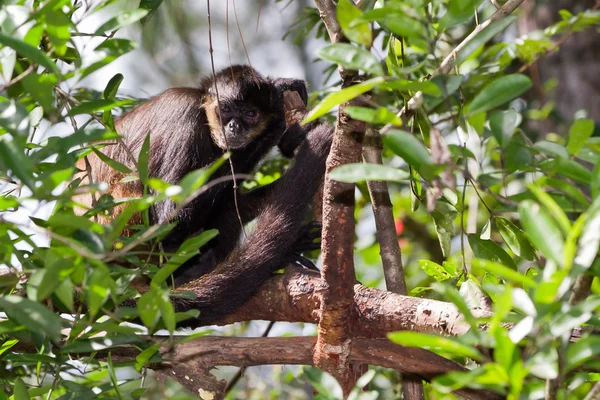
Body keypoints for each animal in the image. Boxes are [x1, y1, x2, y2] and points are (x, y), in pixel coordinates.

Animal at [75, 65, 332, 322]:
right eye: (226, 109)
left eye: (250, 114)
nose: (234, 127)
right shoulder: (185, 116)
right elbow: (168, 221)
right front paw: (279, 119)